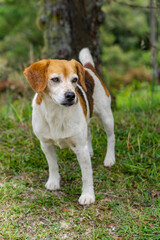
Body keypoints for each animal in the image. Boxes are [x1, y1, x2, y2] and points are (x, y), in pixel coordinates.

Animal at [23, 48, 115, 204]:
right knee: (88, 132)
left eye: (74, 80)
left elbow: (86, 175)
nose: (71, 95)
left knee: (111, 137)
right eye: (55, 79)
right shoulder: (46, 144)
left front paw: (88, 195)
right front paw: (53, 182)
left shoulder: (80, 148)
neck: (56, 112)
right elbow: (53, 165)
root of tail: (88, 69)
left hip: (106, 116)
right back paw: (91, 151)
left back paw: (110, 158)